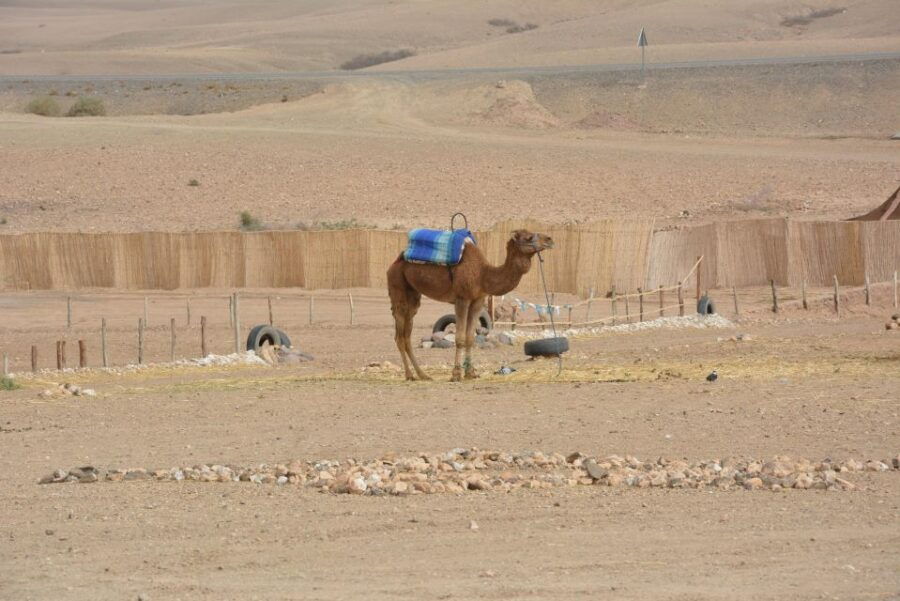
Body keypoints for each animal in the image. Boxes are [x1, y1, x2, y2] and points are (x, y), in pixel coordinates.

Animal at [387, 229, 554, 382]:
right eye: (529, 237)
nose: (550, 239)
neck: (483, 275)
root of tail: (394, 264)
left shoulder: (478, 301)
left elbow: (470, 338)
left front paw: (470, 373)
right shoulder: (462, 299)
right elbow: (460, 338)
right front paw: (456, 375)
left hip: (413, 295)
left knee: (407, 333)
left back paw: (423, 375)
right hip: (398, 286)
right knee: (399, 335)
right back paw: (410, 375)